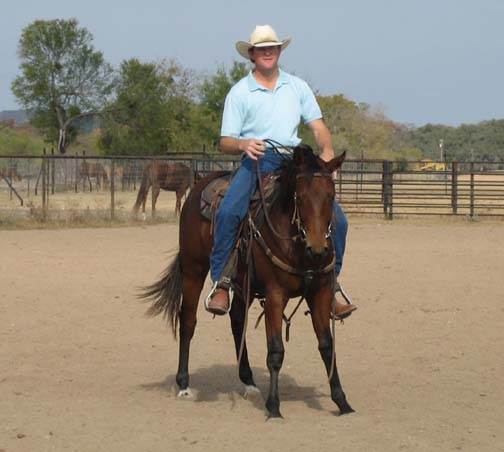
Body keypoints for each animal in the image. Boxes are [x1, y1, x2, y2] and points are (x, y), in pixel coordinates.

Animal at [141, 146, 354, 420]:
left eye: (331, 196)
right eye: (300, 198)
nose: (317, 250)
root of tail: (201, 183)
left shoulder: (320, 292)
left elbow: (327, 346)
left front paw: (341, 401)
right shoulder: (275, 295)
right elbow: (275, 351)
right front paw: (273, 407)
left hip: (244, 284)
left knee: (237, 320)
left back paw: (249, 381)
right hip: (193, 269)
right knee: (188, 321)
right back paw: (184, 384)